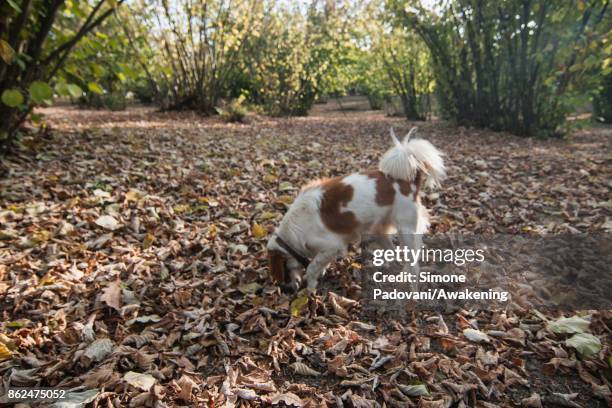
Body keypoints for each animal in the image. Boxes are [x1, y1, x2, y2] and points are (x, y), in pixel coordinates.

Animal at [266, 127, 444, 290]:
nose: (287, 289)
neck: (294, 227)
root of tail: (409, 182)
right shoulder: (328, 250)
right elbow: (319, 263)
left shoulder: (332, 245)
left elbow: (312, 267)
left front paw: (310, 288)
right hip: (380, 231)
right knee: (394, 255)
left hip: (406, 231)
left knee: (412, 265)